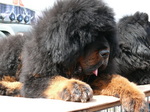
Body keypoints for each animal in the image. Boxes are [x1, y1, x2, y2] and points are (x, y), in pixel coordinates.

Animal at [0, 0, 147, 111]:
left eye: (106, 35)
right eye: (88, 36)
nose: (106, 53)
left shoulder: (97, 76)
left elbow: (119, 80)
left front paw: (137, 98)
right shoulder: (34, 79)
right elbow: (55, 79)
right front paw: (77, 87)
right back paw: (12, 88)